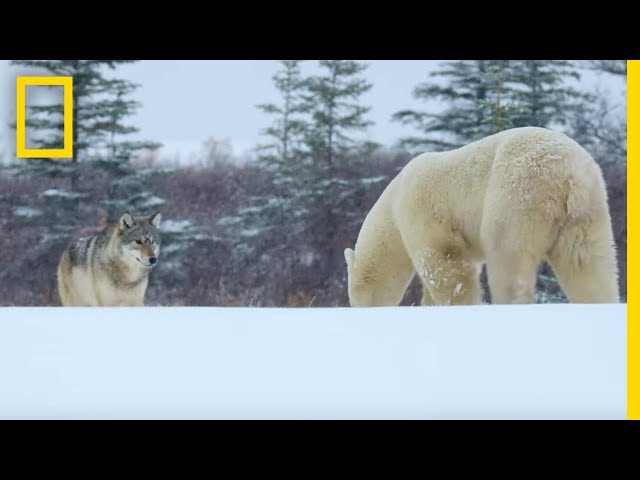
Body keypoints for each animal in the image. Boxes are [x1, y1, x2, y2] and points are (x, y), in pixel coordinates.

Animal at [344, 126, 620, 306]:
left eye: (355, 296)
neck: (392, 205)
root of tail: (569, 175)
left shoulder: (421, 210)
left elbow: (445, 265)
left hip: (518, 193)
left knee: (508, 258)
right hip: (589, 211)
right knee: (588, 264)